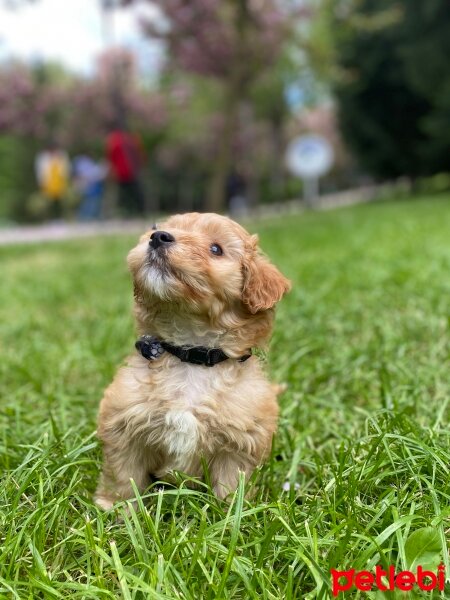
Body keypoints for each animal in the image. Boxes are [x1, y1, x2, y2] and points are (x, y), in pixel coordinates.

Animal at [95, 211, 292, 506]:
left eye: (216, 249)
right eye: (156, 227)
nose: (158, 236)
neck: (190, 356)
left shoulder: (239, 445)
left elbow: (231, 485)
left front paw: (232, 512)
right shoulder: (124, 425)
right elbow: (123, 474)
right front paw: (115, 507)